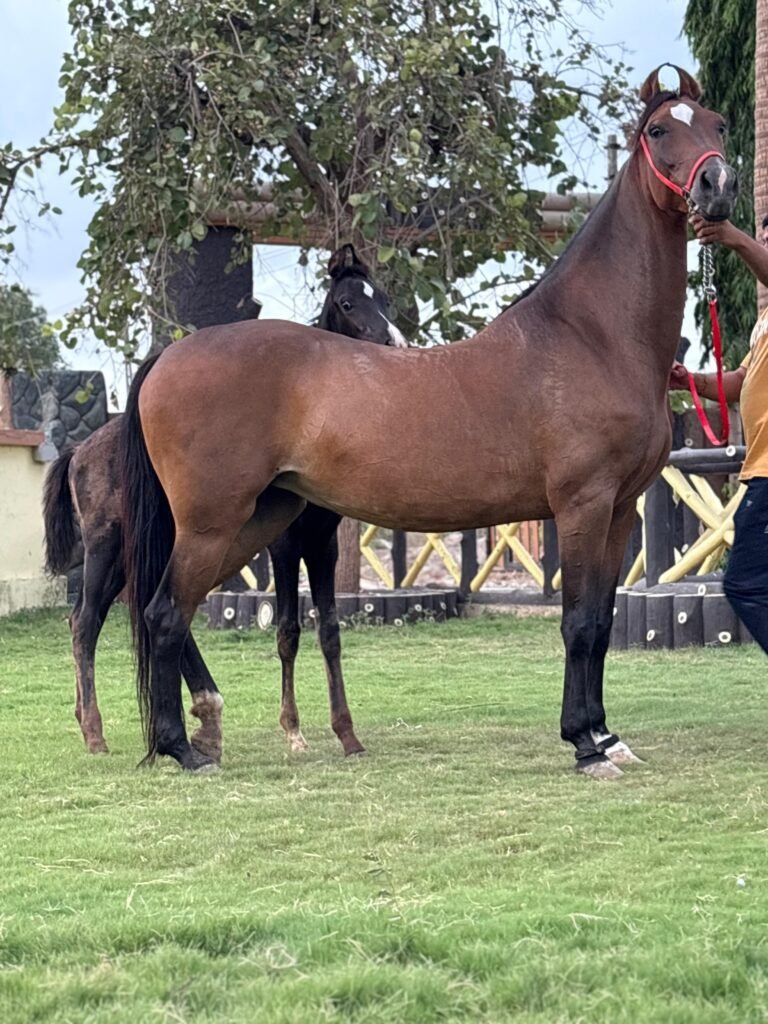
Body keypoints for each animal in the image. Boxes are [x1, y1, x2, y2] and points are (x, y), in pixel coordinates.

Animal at [42, 243, 405, 758]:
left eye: (386, 299)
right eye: (348, 303)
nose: (392, 345)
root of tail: (80, 450)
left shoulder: (324, 542)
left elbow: (330, 631)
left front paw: (345, 734)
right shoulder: (284, 545)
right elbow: (288, 630)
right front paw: (293, 731)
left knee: (146, 609)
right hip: (110, 549)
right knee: (86, 621)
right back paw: (96, 731)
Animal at [119, 67, 738, 778]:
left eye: (718, 124)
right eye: (660, 130)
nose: (719, 185)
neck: (591, 336)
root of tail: (171, 354)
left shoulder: (618, 512)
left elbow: (603, 624)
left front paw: (607, 736)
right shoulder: (582, 505)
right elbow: (578, 623)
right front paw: (584, 744)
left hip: (259, 521)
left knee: (171, 610)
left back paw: (198, 733)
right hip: (215, 523)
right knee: (165, 613)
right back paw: (183, 749)